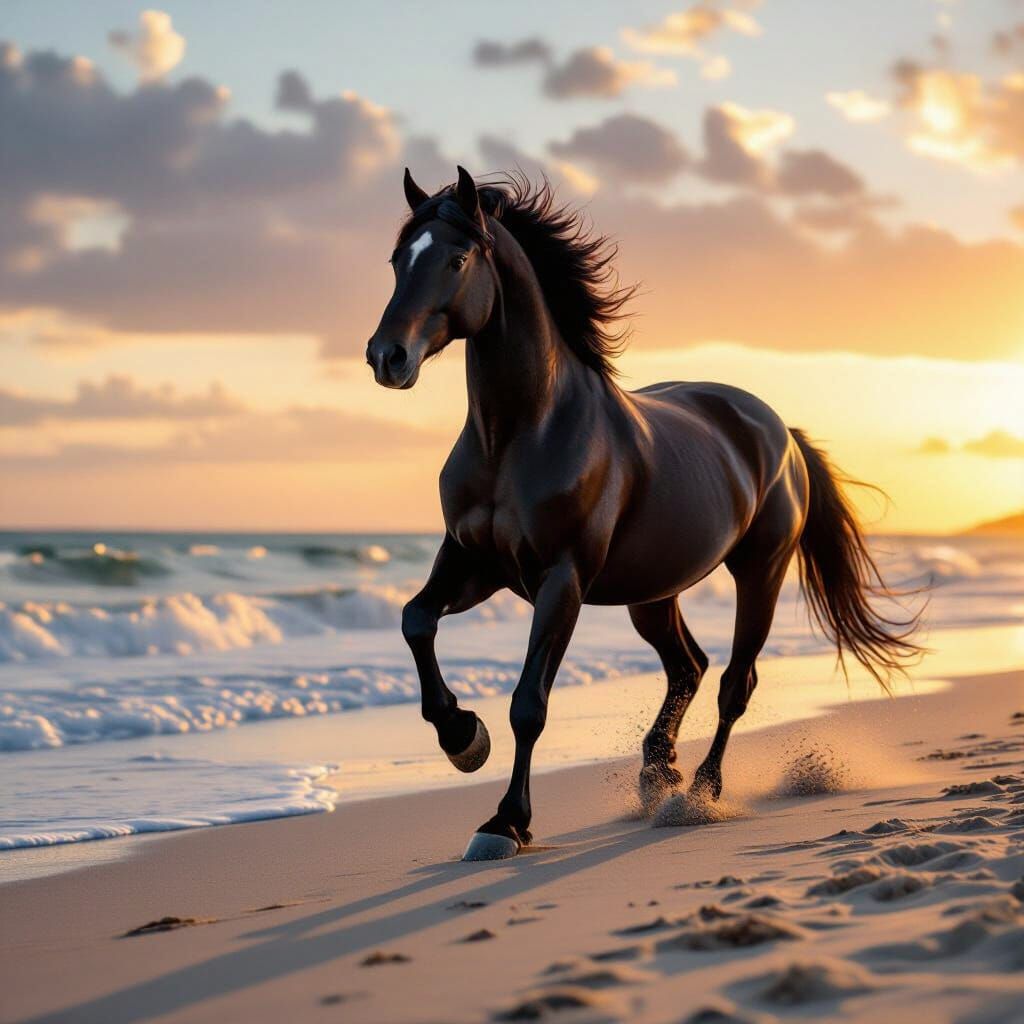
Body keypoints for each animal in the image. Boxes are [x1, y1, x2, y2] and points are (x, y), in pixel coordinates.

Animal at [366, 166, 920, 861]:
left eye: (457, 259)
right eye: (396, 260)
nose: (387, 357)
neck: (520, 435)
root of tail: (780, 431)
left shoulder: (561, 581)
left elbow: (529, 703)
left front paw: (505, 822)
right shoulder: (472, 563)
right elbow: (415, 620)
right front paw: (463, 737)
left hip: (759, 573)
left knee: (734, 682)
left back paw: (699, 792)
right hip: (652, 594)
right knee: (689, 666)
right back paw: (659, 771)